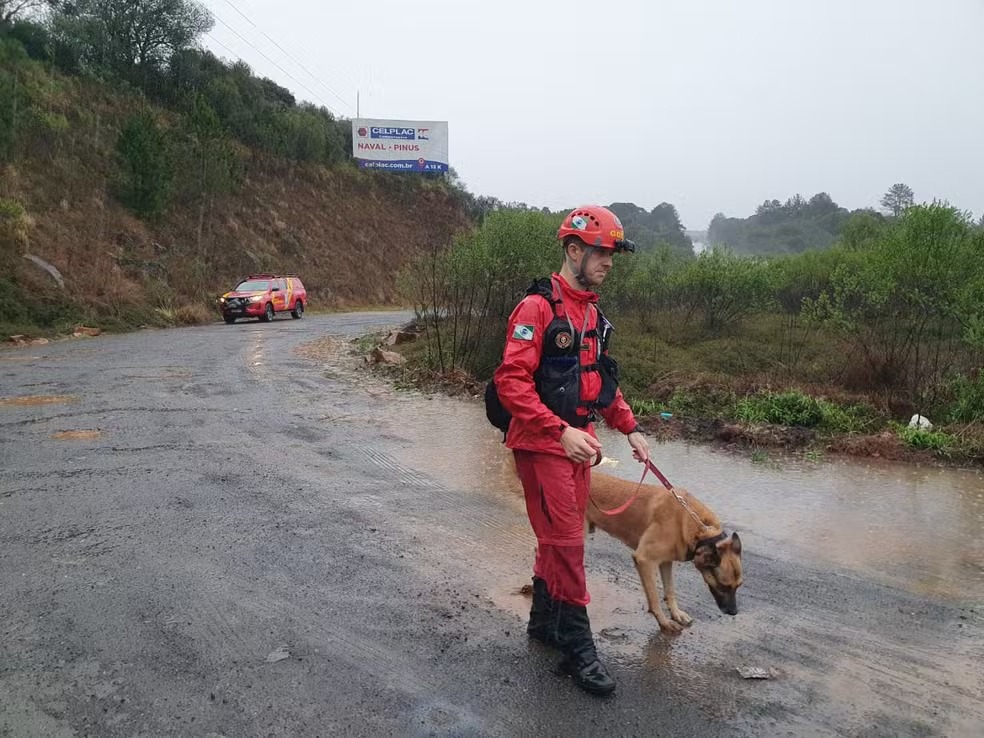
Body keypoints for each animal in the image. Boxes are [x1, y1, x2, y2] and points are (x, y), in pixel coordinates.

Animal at [584, 468, 744, 628]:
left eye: (738, 586)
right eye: (723, 586)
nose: (733, 612)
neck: (698, 528)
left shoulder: (666, 561)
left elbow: (670, 590)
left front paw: (676, 613)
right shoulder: (644, 561)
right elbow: (654, 597)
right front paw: (664, 621)